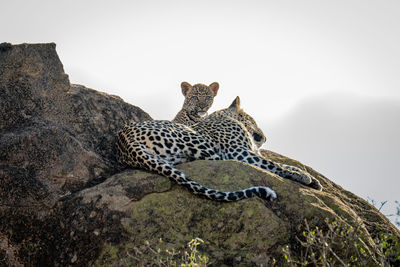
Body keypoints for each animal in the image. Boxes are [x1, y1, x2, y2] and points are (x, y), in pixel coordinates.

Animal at [116, 97, 322, 202]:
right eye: (253, 119)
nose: (265, 137)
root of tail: (125, 142)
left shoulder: (250, 151)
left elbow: (281, 164)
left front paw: (312, 179)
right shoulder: (239, 152)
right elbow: (272, 165)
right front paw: (303, 177)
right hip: (195, 139)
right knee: (217, 160)